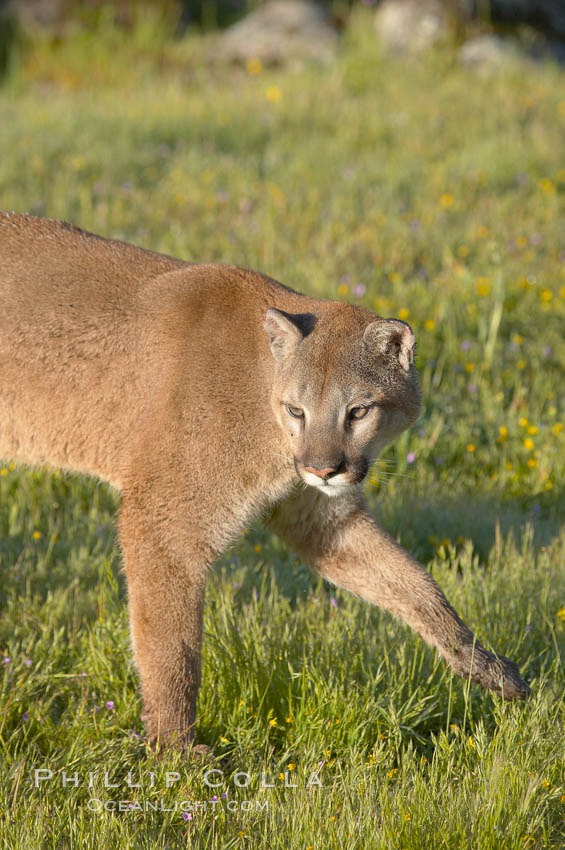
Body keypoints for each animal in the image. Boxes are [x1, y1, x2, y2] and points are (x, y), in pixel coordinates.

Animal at [0, 210, 528, 744]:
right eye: (296, 409)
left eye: (358, 411)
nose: (322, 468)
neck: (265, 407)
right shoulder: (163, 522)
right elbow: (172, 649)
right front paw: (175, 749)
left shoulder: (318, 516)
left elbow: (410, 581)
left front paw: (483, 662)